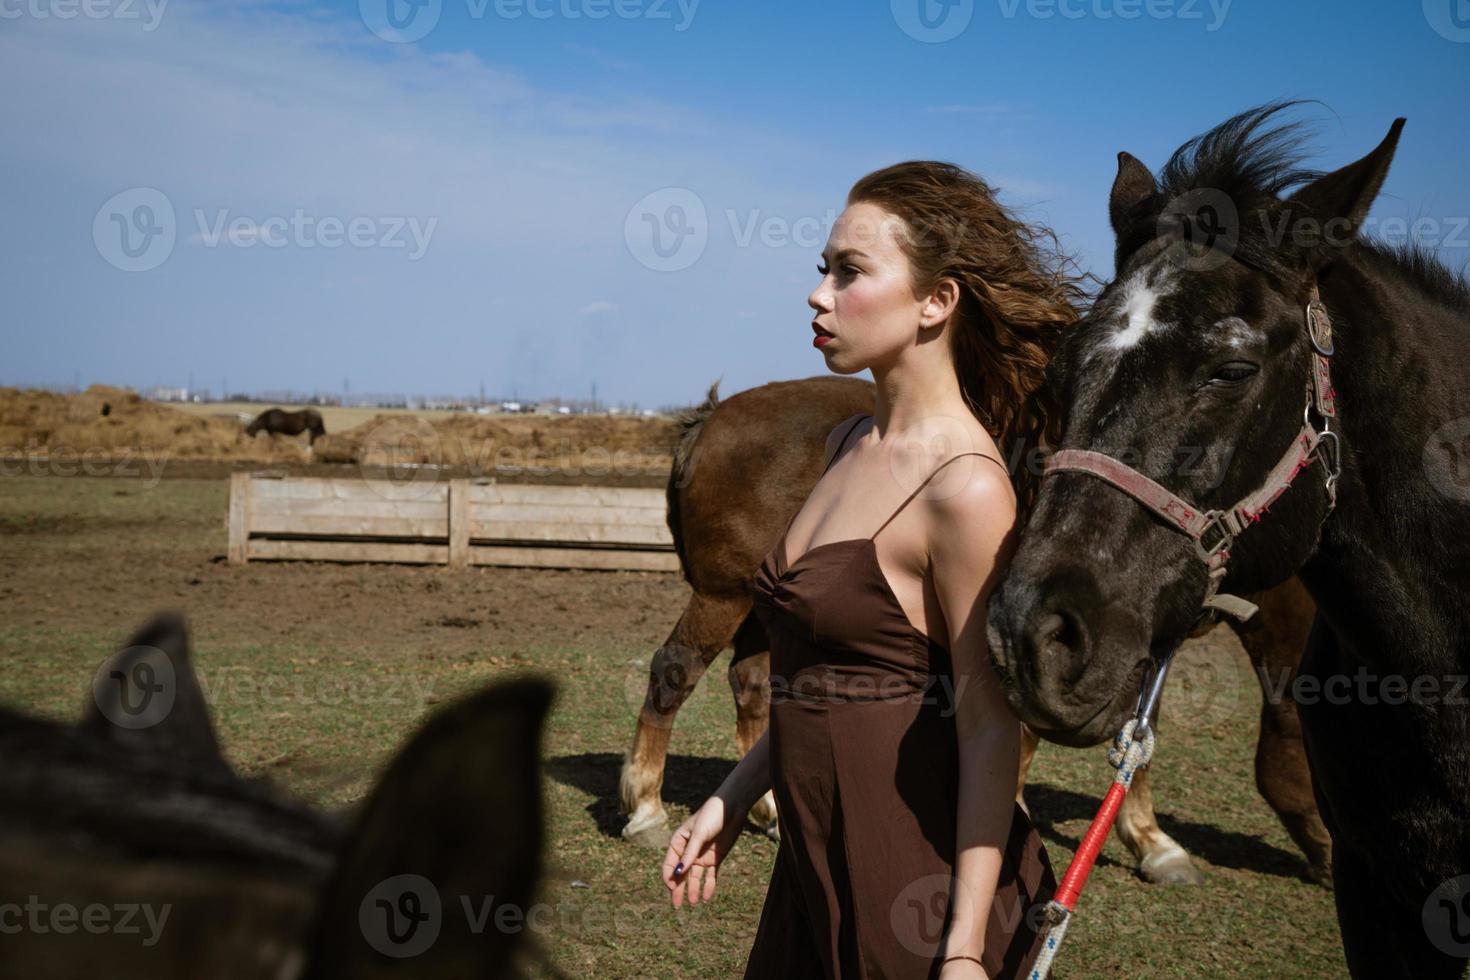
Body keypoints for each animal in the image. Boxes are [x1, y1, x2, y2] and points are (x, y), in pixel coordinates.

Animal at [626, 373, 1340, 887]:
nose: (1335, 861)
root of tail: (708, 422)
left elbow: (1138, 737)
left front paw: (1152, 843)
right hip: (728, 596)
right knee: (673, 672)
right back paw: (646, 808)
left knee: (749, 685)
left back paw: (770, 809)